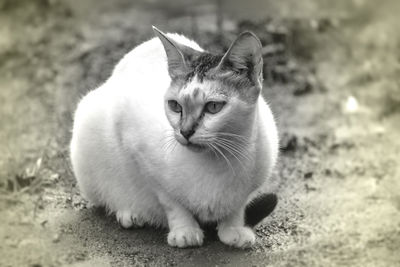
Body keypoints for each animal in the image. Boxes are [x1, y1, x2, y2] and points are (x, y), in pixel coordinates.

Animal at [69, 26, 278, 249]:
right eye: (175, 106)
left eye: (213, 107)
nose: (185, 131)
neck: (219, 160)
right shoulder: (137, 149)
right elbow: (170, 201)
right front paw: (185, 231)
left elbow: (237, 206)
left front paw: (233, 229)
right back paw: (130, 212)